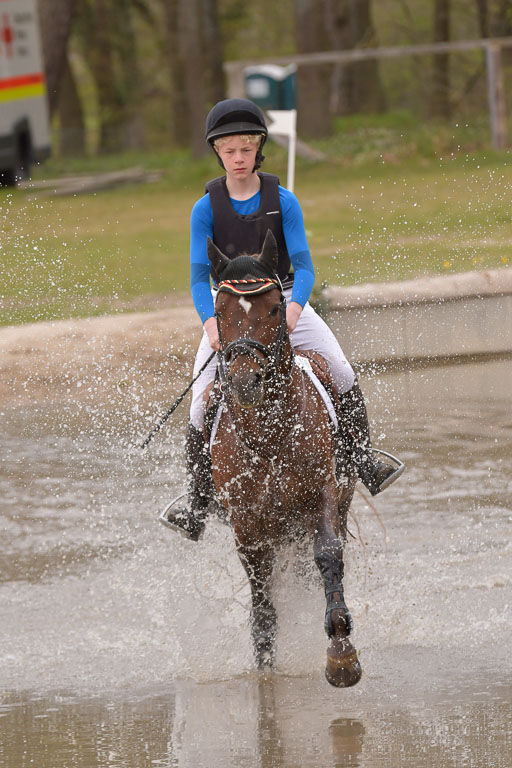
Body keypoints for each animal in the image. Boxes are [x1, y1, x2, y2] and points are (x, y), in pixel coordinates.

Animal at [206, 231, 362, 688]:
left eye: (275, 306)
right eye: (219, 311)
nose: (245, 381)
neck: (269, 435)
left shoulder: (321, 496)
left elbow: (328, 554)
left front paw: (341, 653)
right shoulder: (247, 526)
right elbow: (261, 598)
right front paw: (264, 663)